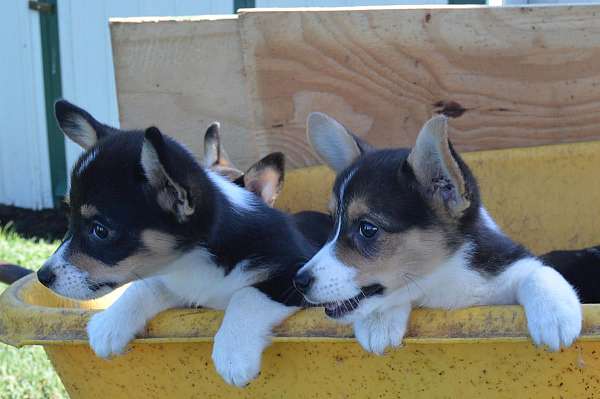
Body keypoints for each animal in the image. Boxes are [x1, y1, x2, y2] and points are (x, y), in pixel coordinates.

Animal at [36, 101, 318, 388]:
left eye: (100, 231)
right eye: (69, 217)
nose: (42, 276)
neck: (198, 262)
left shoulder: (299, 273)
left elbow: (248, 294)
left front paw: (233, 353)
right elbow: (146, 286)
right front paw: (109, 324)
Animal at [294, 114, 580, 354]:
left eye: (367, 228)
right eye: (333, 222)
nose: (299, 281)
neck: (443, 282)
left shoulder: (508, 263)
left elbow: (537, 272)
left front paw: (555, 315)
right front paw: (378, 323)